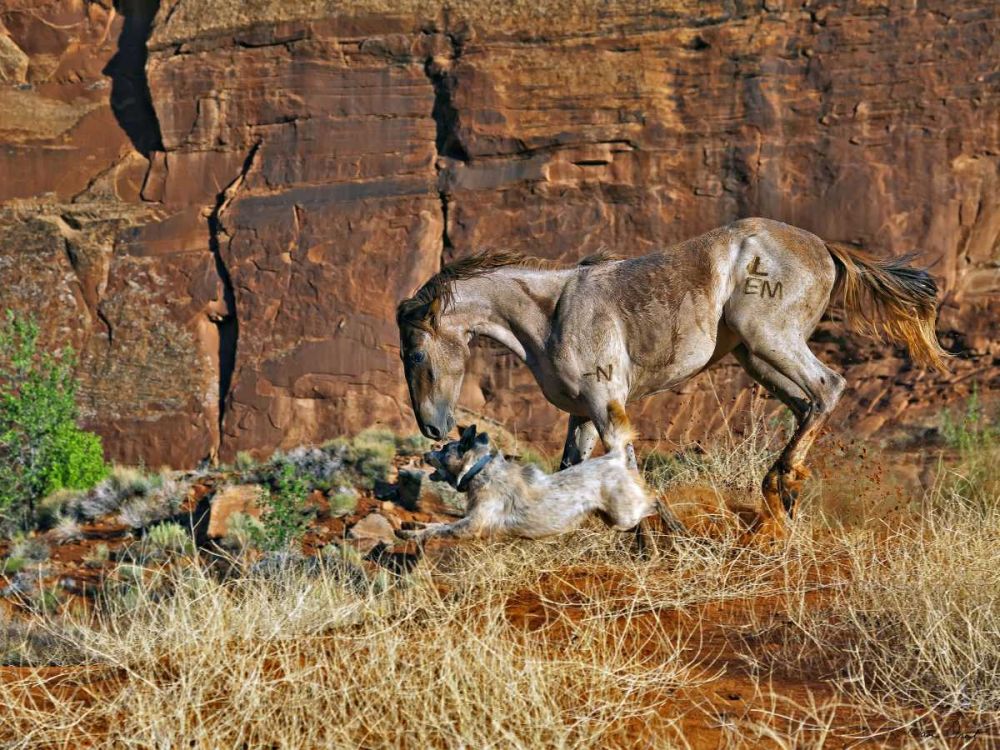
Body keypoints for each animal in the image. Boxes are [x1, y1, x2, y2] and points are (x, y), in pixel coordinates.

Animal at [396, 217, 948, 541]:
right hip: (755, 358)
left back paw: (779, 484)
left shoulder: (607, 403)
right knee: (806, 403)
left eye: (415, 351)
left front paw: (653, 536)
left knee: (827, 388)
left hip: (768, 338)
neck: (551, 313)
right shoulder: (581, 414)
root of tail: (824, 247)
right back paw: (782, 498)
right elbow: (569, 471)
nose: (431, 427)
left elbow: (624, 468)